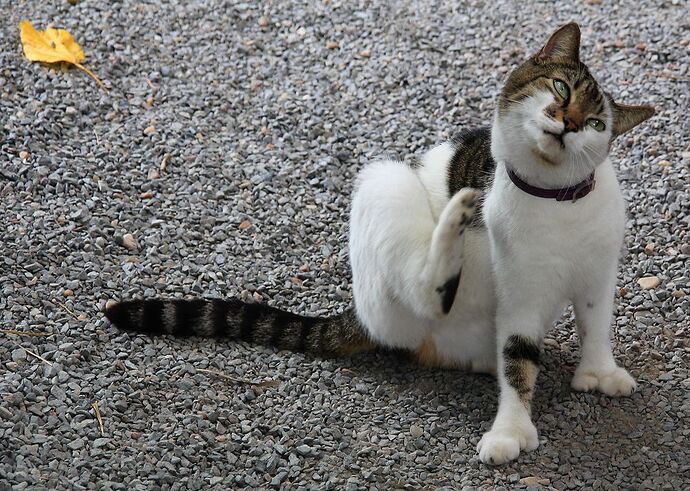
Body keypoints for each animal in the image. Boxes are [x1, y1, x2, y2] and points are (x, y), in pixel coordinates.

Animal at [105, 22, 652, 466]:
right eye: (560, 87)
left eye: (598, 124)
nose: (570, 122)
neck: (561, 204)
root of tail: (360, 315)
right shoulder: (521, 294)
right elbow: (518, 360)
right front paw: (510, 432)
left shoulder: (600, 274)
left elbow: (596, 324)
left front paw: (599, 372)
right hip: (384, 185)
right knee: (425, 288)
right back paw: (454, 224)